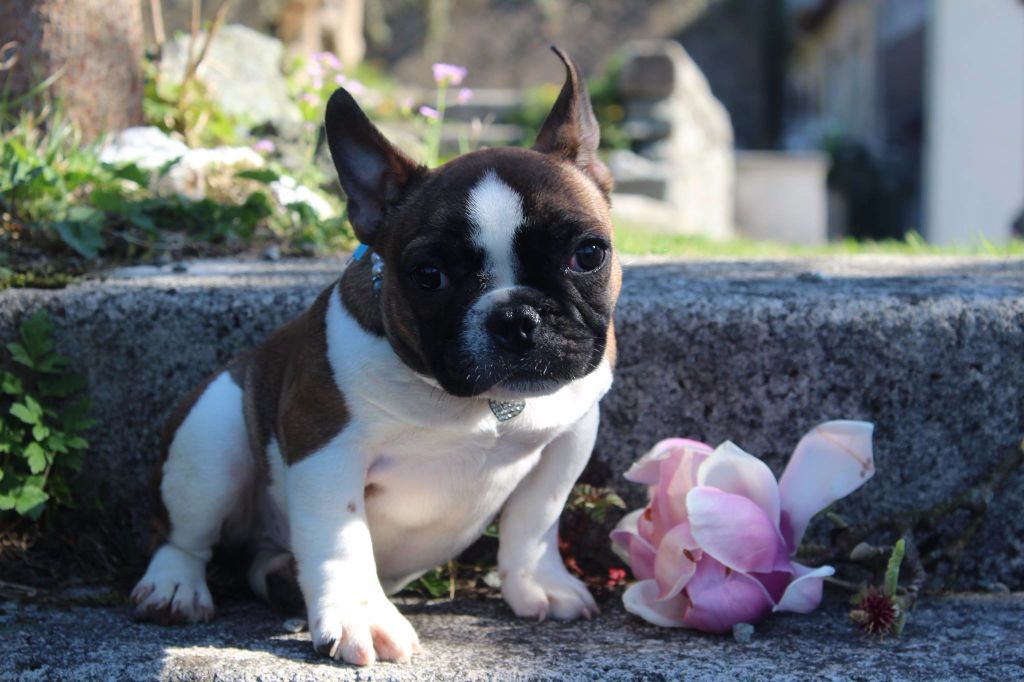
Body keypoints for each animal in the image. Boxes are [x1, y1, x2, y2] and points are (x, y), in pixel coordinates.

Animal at [132, 47, 618, 663]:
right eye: (428, 276)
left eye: (588, 254)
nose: (515, 318)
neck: (481, 405)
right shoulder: (324, 445)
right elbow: (342, 539)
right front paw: (363, 617)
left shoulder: (570, 435)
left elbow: (535, 520)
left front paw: (539, 585)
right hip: (210, 433)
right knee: (183, 534)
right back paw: (174, 586)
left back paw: (279, 577)